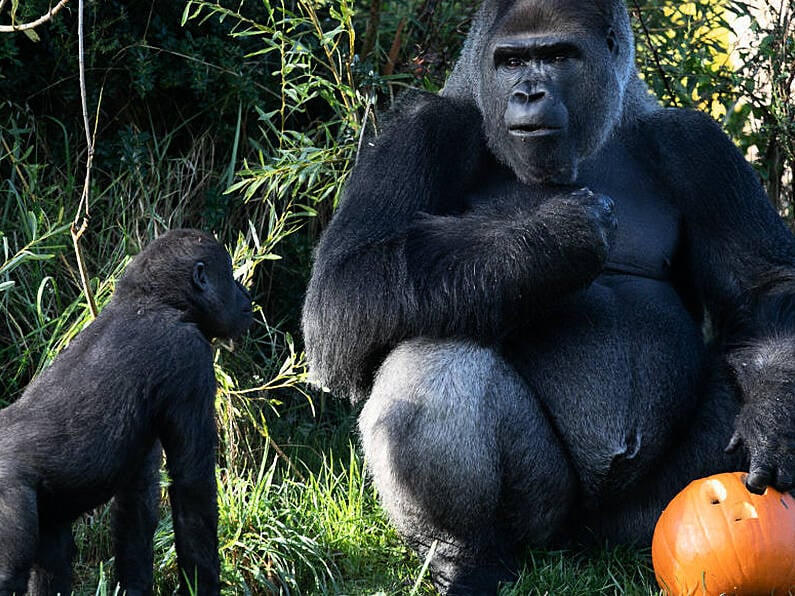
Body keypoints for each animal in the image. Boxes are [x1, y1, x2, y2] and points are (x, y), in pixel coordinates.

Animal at [0, 229, 252, 596]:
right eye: (230, 276)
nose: (245, 295)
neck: (151, 300)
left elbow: (138, 501)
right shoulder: (190, 355)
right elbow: (192, 490)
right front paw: (202, 586)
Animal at [304, 0, 795, 592]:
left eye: (558, 56)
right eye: (512, 61)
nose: (528, 93)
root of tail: (586, 548)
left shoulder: (697, 145)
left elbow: (764, 289)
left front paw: (775, 413)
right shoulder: (420, 131)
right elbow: (344, 289)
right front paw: (554, 237)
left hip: (645, 519)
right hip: (545, 523)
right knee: (432, 354)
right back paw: (463, 557)